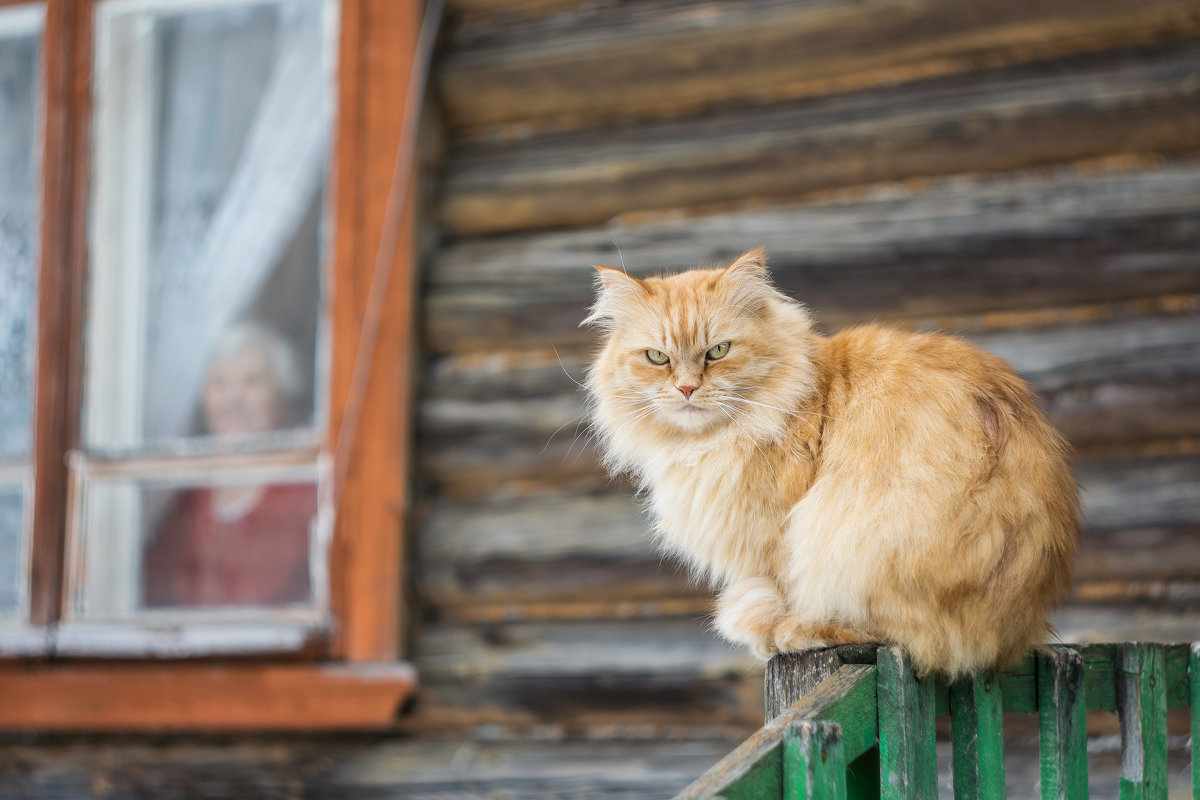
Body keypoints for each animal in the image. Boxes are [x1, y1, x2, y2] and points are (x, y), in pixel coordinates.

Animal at [585, 248, 1084, 676]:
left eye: (718, 351)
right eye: (657, 357)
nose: (687, 388)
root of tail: (1016, 632)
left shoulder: (780, 532)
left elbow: (786, 586)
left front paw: (773, 629)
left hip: (862, 535)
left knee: (910, 636)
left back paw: (797, 630)